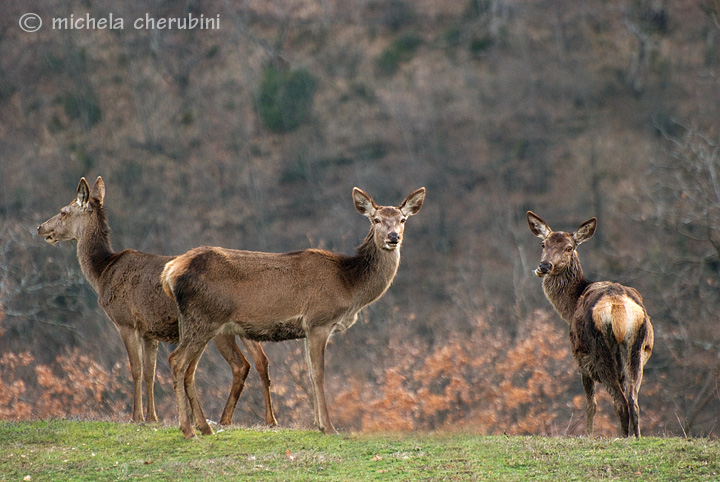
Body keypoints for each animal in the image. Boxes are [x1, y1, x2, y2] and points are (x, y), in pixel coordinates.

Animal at [35, 176, 278, 426]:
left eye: (63, 212)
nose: (40, 227)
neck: (102, 273)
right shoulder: (149, 331)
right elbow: (151, 373)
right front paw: (152, 417)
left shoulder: (126, 321)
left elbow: (136, 370)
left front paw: (136, 416)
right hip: (246, 322)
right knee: (261, 361)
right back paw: (269, 419)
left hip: (217, 323)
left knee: (241, 365)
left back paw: (224, 419)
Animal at [160, 186, 424, 438]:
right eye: (376, 219)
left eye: (402, 219)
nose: (393, 237)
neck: (349, 286)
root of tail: (169, 272)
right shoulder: (319, 321)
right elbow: (318, 373)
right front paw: (328, 427)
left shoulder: (308, 329)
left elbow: (309, 373)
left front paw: (319, 424)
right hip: (204, 318)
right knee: (177, 361)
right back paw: (188, 430)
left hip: (198, 322)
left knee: (190, 369)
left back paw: (205, 427)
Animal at [524, 211, 656, 436]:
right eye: (543, 244)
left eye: (569, 247)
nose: (544, 266)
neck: (570, 306)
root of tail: (618, 309)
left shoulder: (580, 359)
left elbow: (590, 404)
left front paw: (588, 434)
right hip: (636, 350)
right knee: (633, 401)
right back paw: (636, 437)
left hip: (598, 351)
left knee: (620, 403)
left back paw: (622, 437)